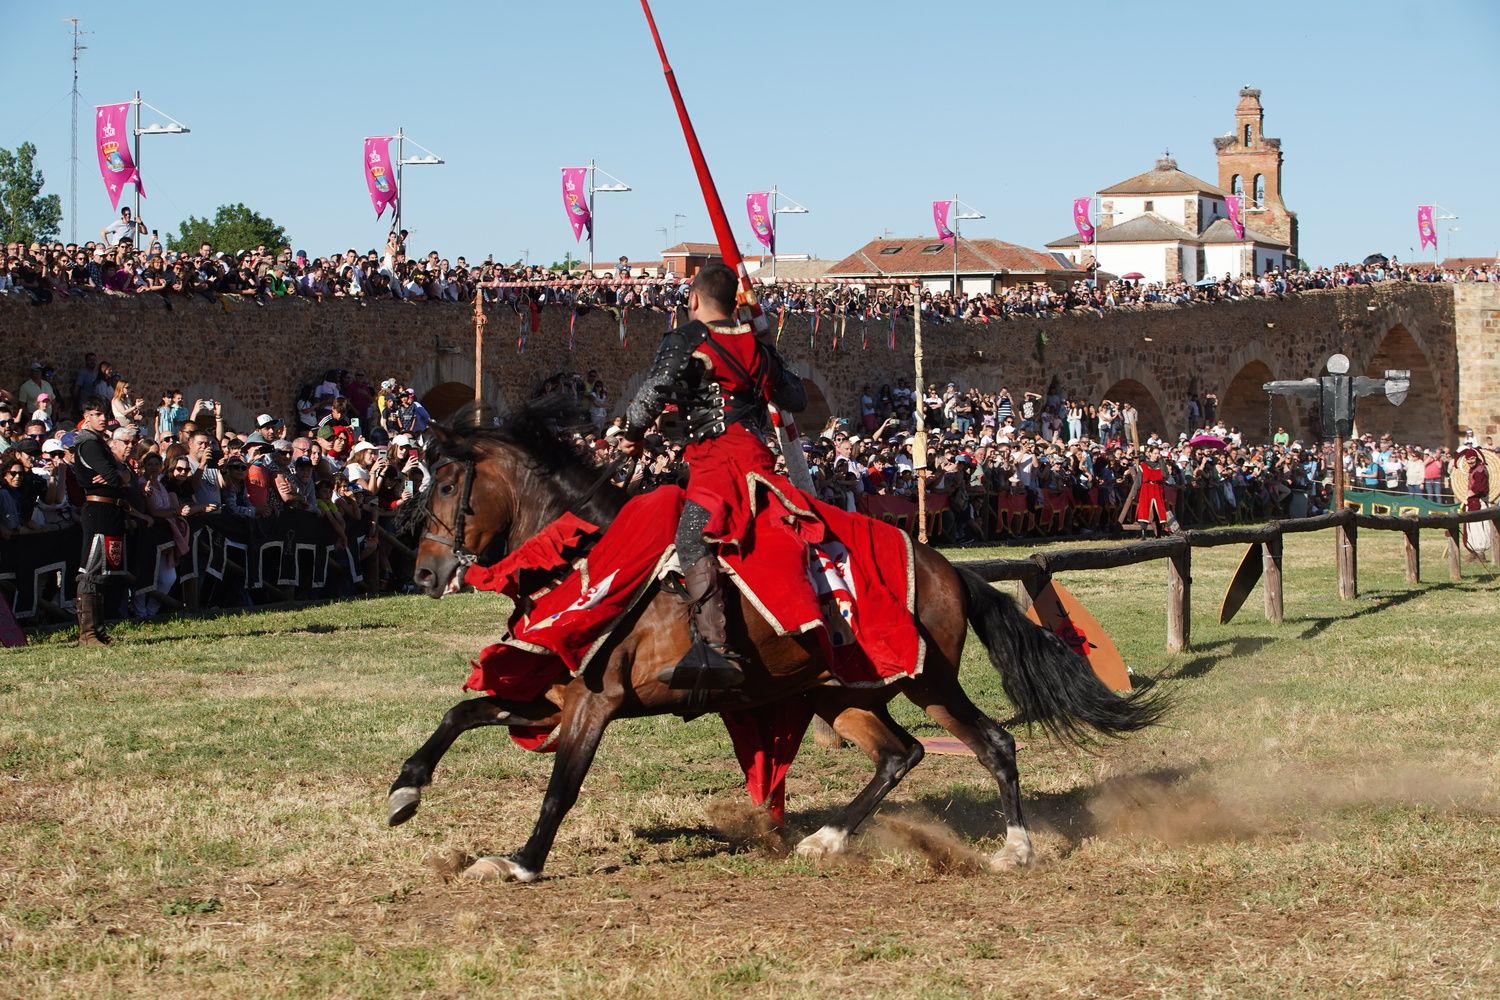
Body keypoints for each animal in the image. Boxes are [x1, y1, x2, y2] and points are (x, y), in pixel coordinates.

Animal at [390, 401, 1158, 881]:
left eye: (450, 484)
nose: (424, 573)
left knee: (993, 743)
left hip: (925, 679)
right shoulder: (552, 694)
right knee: (900, 754)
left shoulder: (595, 702)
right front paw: (406, 789)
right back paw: (829, 838)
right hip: (840, 694)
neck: (591, 558)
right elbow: (459, 713)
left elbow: (561, 789)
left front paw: (522, 860)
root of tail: (948, 568)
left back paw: (1016, 850)